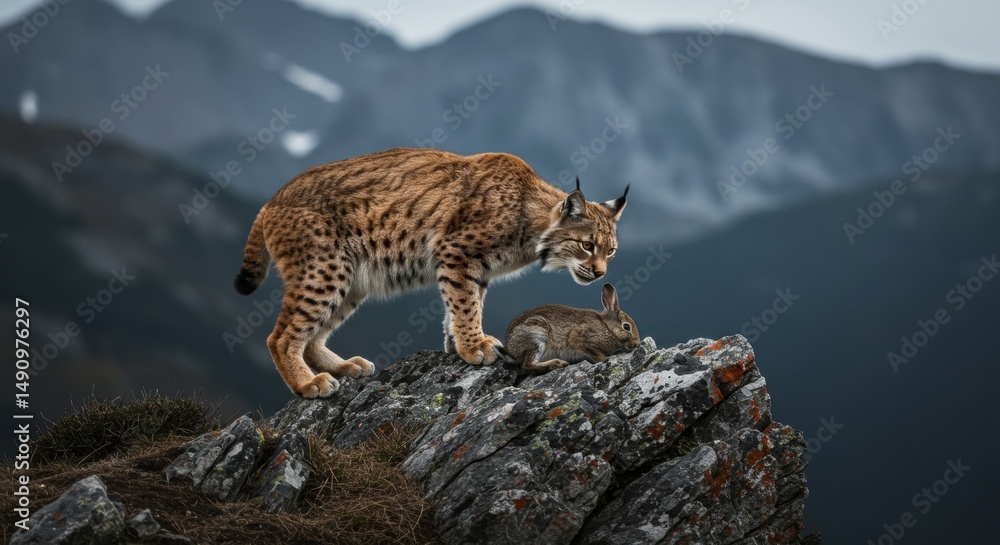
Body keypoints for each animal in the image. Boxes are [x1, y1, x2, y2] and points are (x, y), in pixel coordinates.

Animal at [505, 283, 640, 373]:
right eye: (626, 327)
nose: (636, 344)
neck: (607, 328)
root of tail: (510, 349)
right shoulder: (581, 338)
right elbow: (595, 354)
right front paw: (606, 359)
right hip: (537, 335)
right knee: (527, 365)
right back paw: (557, 363)